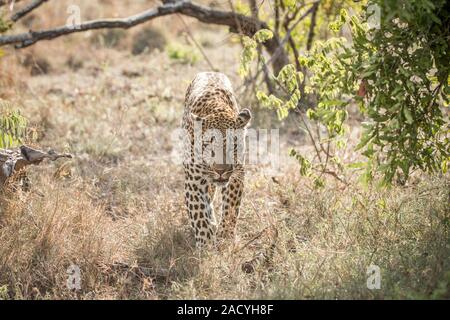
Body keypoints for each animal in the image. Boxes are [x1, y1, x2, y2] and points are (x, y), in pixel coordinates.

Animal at [183, 71, 253, 249]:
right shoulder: (193, 180)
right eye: (208, 145)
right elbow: (199, 213)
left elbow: (231, 208)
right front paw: (206, 245)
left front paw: (225, 236)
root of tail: (210, 72)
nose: (220, 171)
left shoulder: (237, 175)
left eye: (233, 146)